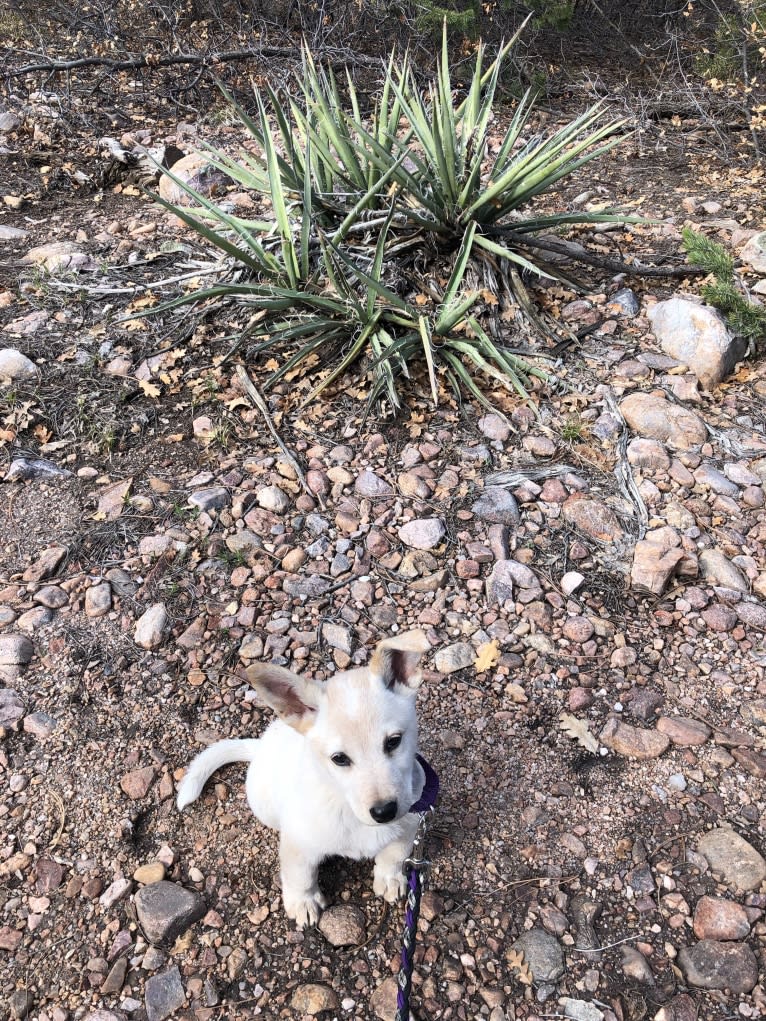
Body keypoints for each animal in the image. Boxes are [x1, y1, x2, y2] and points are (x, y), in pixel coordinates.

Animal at [177, 628, 435, 927]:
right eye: (339, 758)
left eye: (393, 741)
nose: (384, 811)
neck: (345, 806)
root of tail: (259, 746)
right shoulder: (299, 843)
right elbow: (299, 876)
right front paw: (303, 902)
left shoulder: (412, 822)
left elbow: (395, 853)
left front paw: (390, 878)